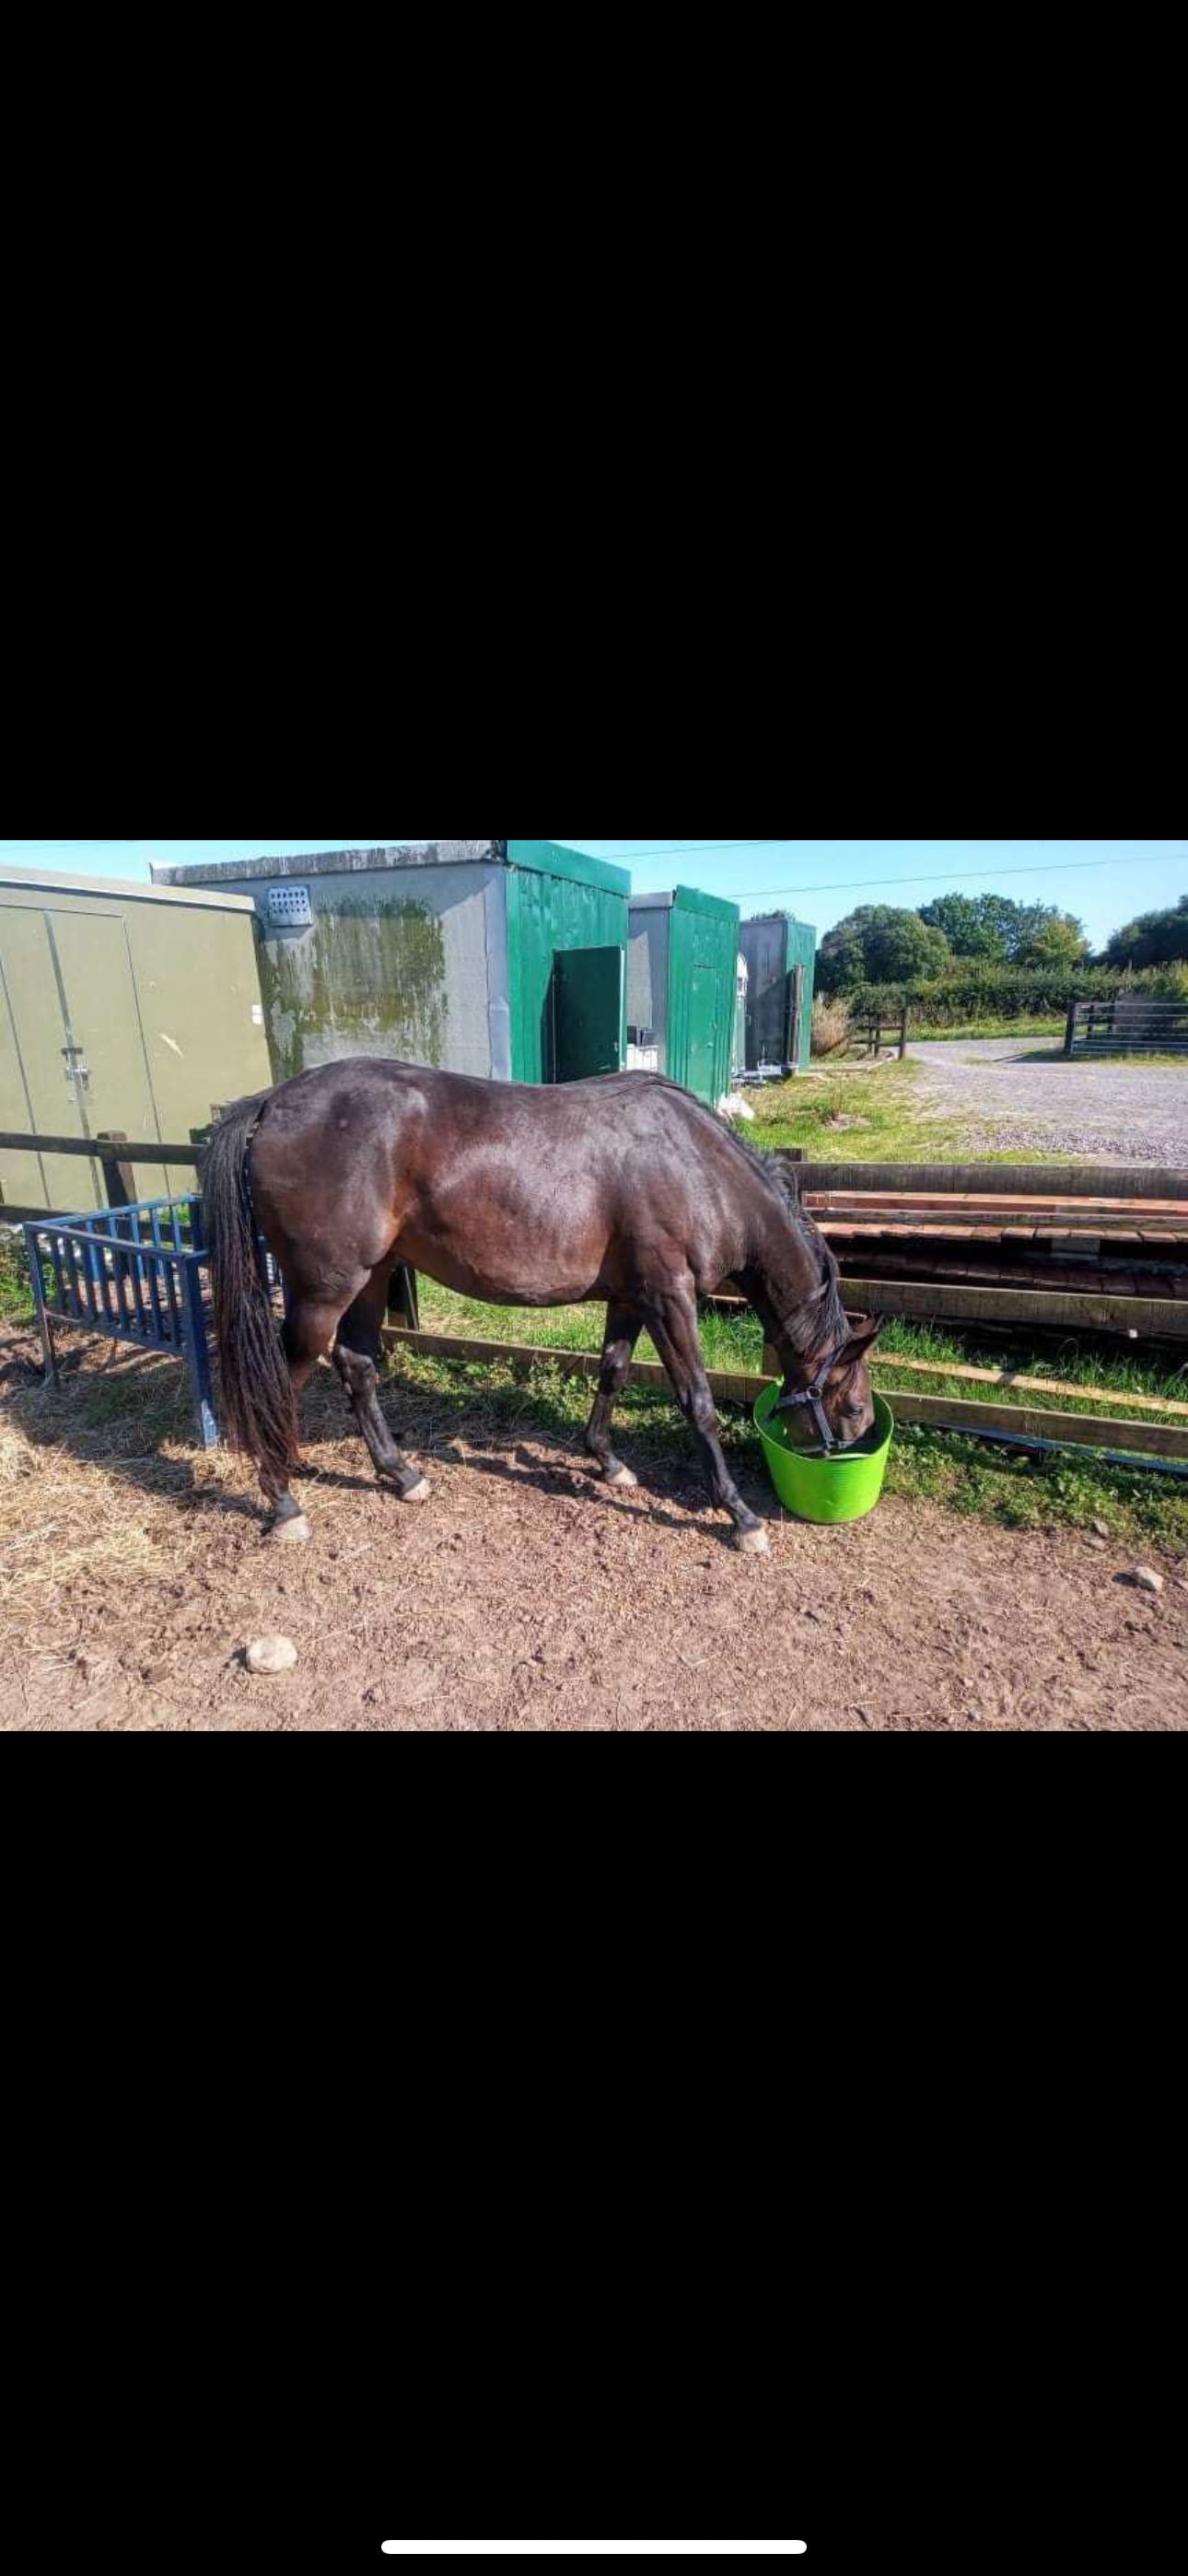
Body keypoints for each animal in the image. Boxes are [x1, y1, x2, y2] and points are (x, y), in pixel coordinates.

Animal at [200, 1061, 881, 1554]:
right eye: (853, 1404)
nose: (853, 1443)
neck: (697, 1168)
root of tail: (271, 1103)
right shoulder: (669, 1297)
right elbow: (698, 1401)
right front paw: (739, 1514)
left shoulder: (632, 1297)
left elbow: (613, 1371)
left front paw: (607, 1461)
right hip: (323, 1292)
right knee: (283, 1382)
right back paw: (284, 1503)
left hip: (371, 1278)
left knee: (357, 1365)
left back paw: (401, 1474)